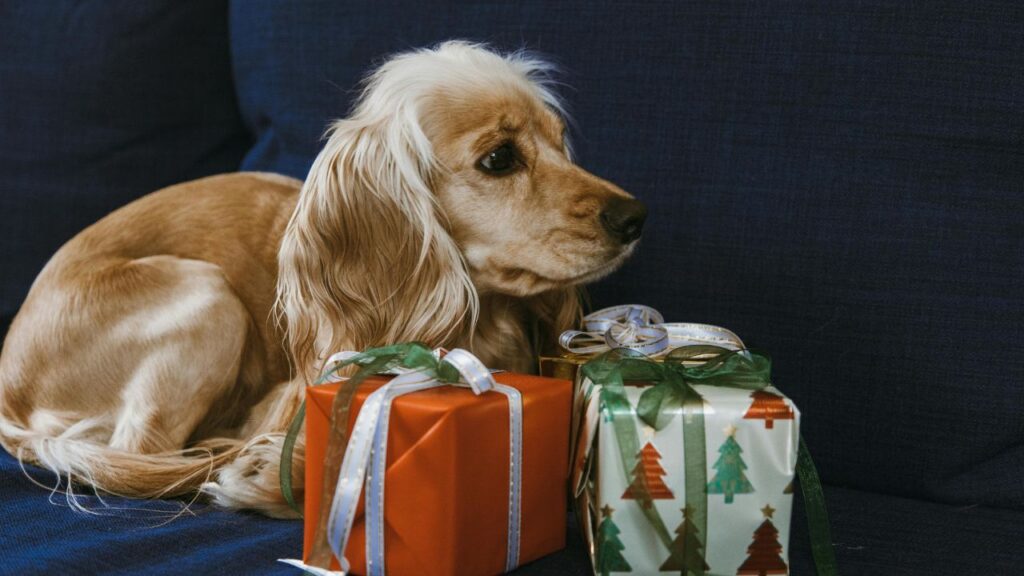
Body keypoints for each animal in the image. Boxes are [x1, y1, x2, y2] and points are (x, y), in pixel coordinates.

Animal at [0, 40, 647, 516]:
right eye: (499, 159)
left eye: (561, 143)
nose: (634, 217)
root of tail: (10, 392)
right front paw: (265, 476)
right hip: (208, 294)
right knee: (141, 453)